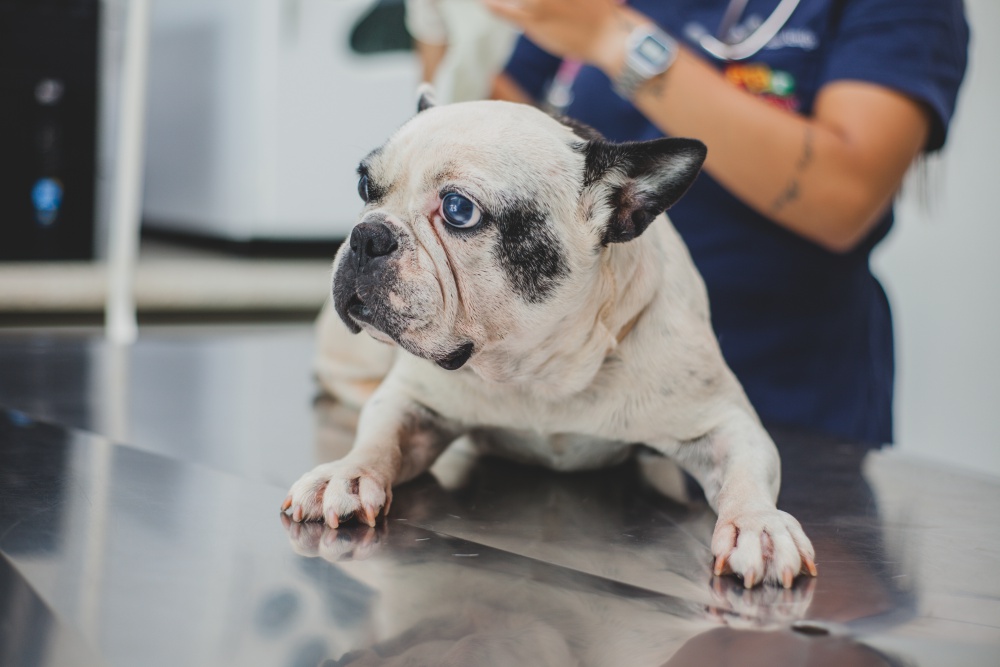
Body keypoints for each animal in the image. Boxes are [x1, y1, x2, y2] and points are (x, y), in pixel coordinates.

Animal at [280, 90, 812, 588]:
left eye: (458, 210)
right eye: (364, 185)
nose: (366, 234)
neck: (538, 369)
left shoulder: (724, 420)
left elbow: (747, 469)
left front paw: (758, 526)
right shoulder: (414, 400)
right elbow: (379, 435)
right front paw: (346, 474)